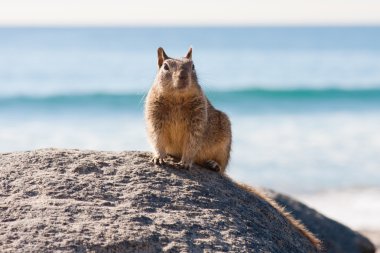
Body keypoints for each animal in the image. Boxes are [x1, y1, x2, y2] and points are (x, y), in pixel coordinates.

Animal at [145, 48, 320, 251]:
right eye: (166, 66)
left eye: (193, 66)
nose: (183, 76)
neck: (176, 98)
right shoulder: (154, 118)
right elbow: (157, 140)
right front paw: (159, 157)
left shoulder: (197, 123)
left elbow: (192, 144)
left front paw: (185, 162)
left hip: (224, 144)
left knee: (220, 166)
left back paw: (213, 165)